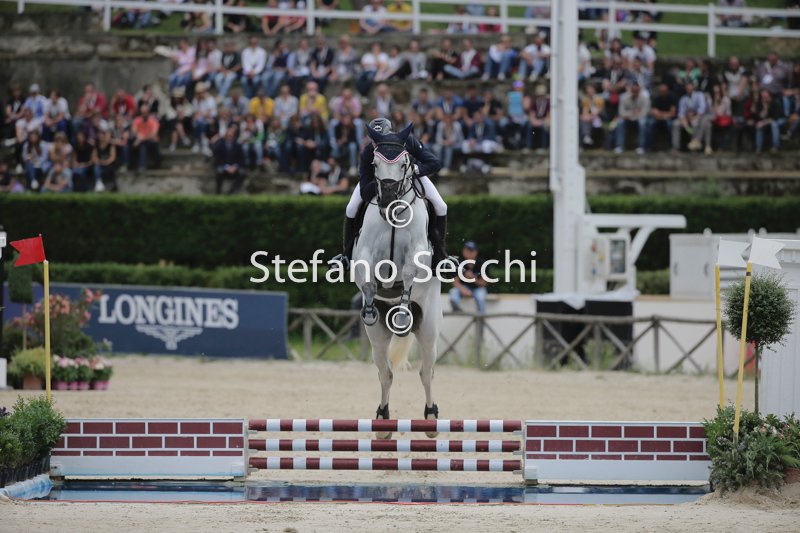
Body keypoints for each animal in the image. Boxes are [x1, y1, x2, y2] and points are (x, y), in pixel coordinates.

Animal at [351, 123, 443, 439]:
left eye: (404, 163)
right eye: (374, 163)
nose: (389, 200)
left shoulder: (417, 254)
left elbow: (408, 274)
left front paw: (402, 315)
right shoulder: (364, 255)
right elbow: (367, 279)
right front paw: (368, 308)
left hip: (428, 329)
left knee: (426, 372)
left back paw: (431, 417)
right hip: (378, 337)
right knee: (385, 373)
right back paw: (382, 420)